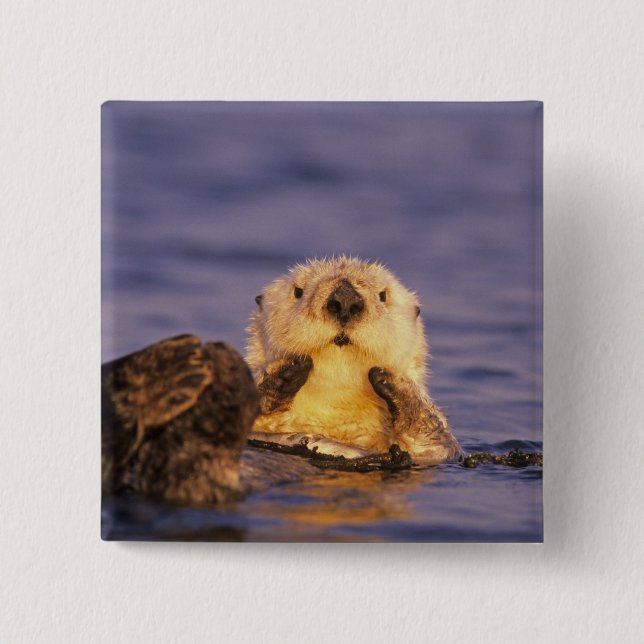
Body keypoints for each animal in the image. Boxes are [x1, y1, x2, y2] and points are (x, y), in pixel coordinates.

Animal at [246, 257, 463, 465]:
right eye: (298, 292)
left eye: (383, 296)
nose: (345, 299)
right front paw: (283, 373)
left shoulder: (433, 454)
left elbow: (438, 444)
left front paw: (393, 381)